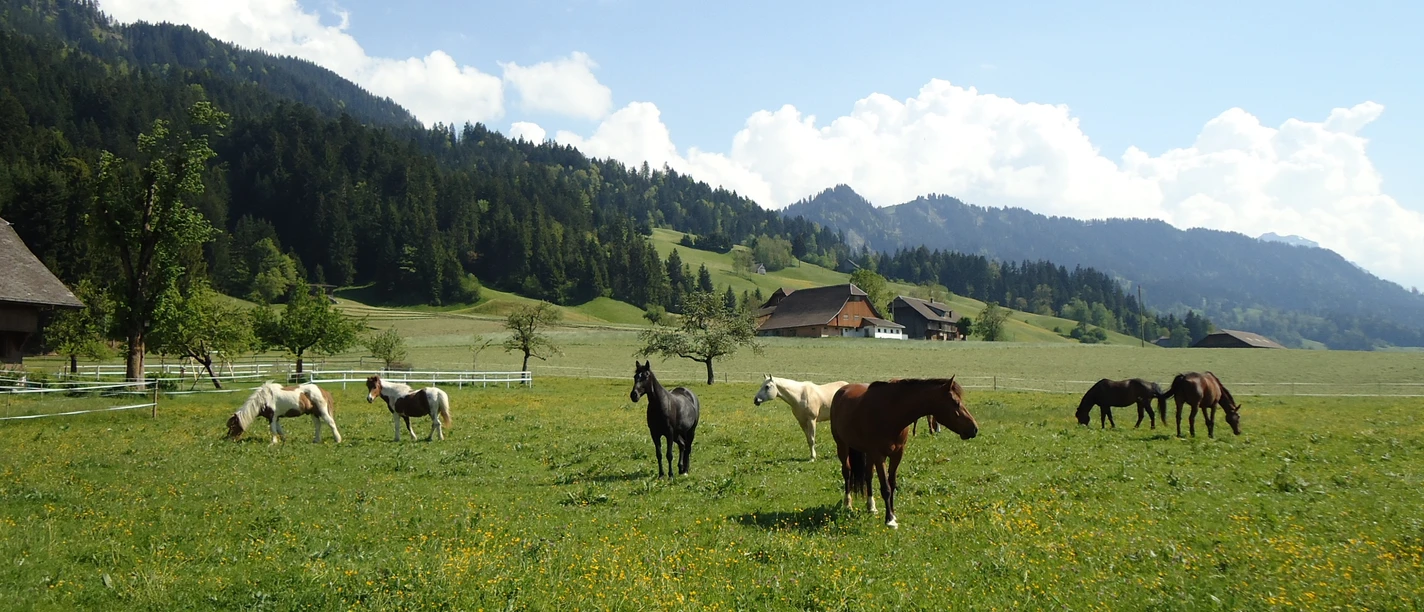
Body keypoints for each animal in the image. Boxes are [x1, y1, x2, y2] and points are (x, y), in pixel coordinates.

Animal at [831, 377, 978, 528]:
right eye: (956, 402)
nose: (974, 428)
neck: (890, 412)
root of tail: (842, 390)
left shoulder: (897, 454)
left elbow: (892, 484)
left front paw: (893, 514)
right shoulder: (879, 455)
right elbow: (886, 488)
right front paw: (889, 520)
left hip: (868, 453)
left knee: (868, 476)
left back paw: (871, 506)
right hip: (842, 445)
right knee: (847, 472)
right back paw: (847, 504)